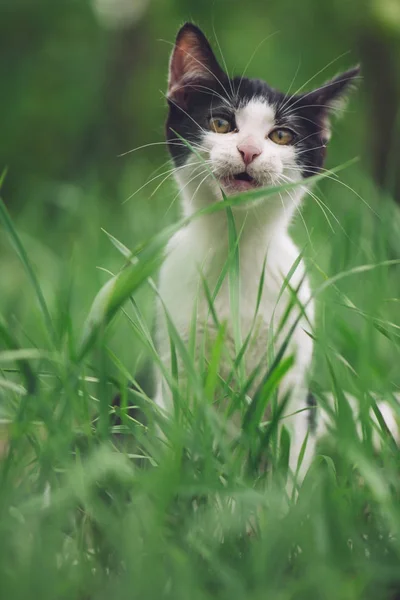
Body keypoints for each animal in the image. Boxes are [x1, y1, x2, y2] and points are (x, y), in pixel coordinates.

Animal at [153, 22, 360, 482]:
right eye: (220, 123)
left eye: (281, 135)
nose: (249, 150)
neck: (236, 246)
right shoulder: (176, 364)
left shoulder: (292, 377)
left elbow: (289, 456)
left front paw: (282, 499)